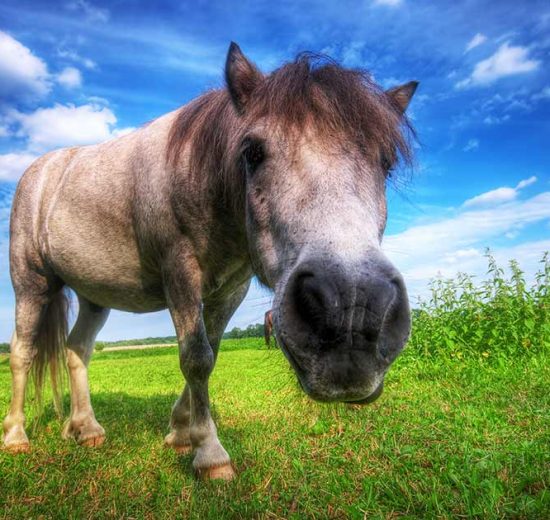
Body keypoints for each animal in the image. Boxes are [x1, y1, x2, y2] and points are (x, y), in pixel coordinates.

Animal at [3, 40, 418, 480]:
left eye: (386, 162)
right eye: (252, 152)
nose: (352, 311)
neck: (201, 177)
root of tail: (41, 169)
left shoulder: (230, 290)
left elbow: (211, 354)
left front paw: (180, 432)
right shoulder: (180, 275)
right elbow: (196, 358)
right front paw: (209, 452)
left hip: (94, 297)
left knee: (76, 350)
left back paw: (85, 428)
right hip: (31, 284)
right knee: (22, 352)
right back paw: (15, 436)